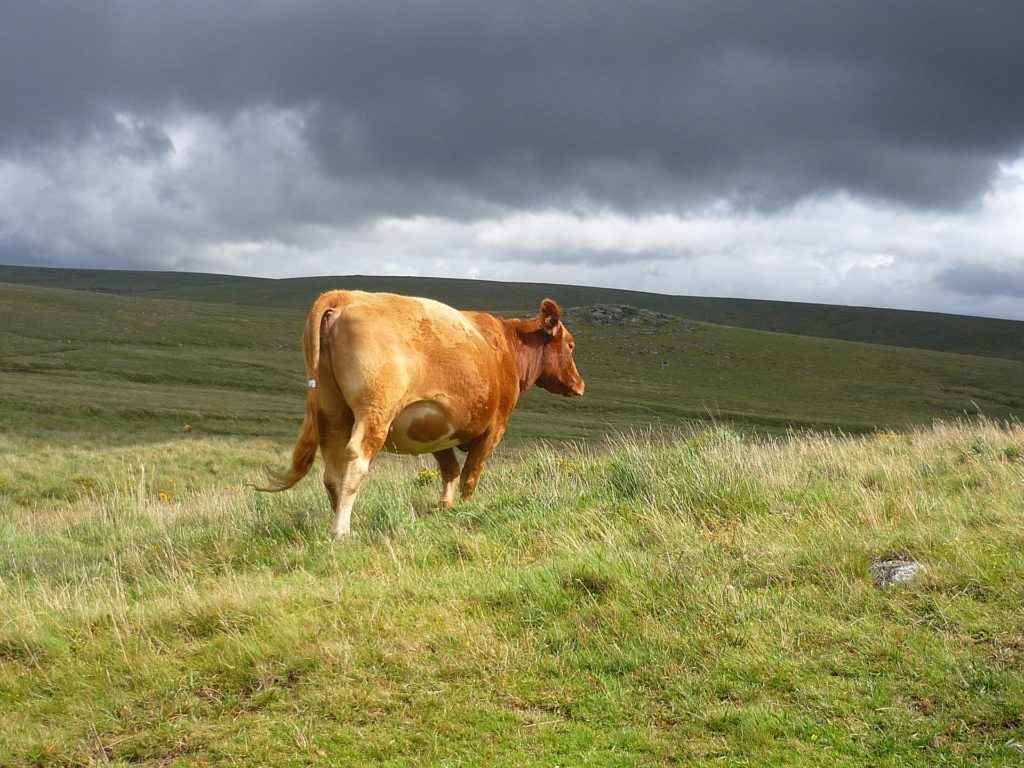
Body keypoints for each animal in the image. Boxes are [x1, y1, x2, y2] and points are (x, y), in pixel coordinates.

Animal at [261, 291, 585, 539]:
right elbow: (469, 476)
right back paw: (341, 531)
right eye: (570, 345)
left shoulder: (434, 430)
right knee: (355, 462)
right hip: (375, 411)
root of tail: (346, 295)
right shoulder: (495, 427)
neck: (507, 347)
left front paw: (445, 507)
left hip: (331, 412)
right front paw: (465, 509)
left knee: (331, 472)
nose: (580, 384)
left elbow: (451, 471)